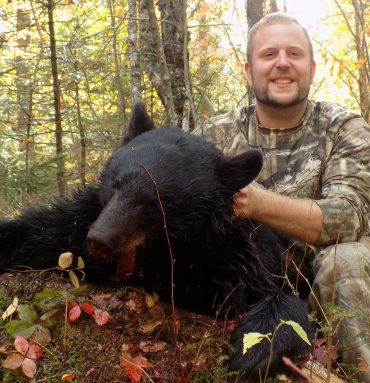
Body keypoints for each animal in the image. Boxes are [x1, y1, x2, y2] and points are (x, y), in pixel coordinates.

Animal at [0, 103, 312, 380]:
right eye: (116, 183)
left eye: (155, 203)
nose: (99, 239)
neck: (160, 250)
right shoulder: (82, 219)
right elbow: (40, 232)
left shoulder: (231, 256)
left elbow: (276, 295)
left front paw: (255, 349)